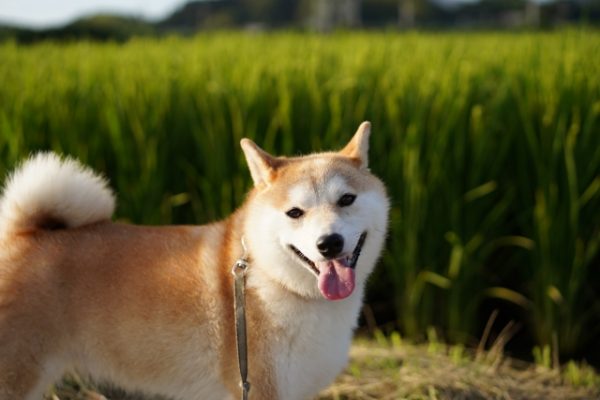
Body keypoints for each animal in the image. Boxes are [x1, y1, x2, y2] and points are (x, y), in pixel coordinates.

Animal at [0, 122, 390, 400]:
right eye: (295, 212)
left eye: (347, 199)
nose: (329, 243)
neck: (270, 279)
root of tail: (20, 237)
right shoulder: (258, 387)